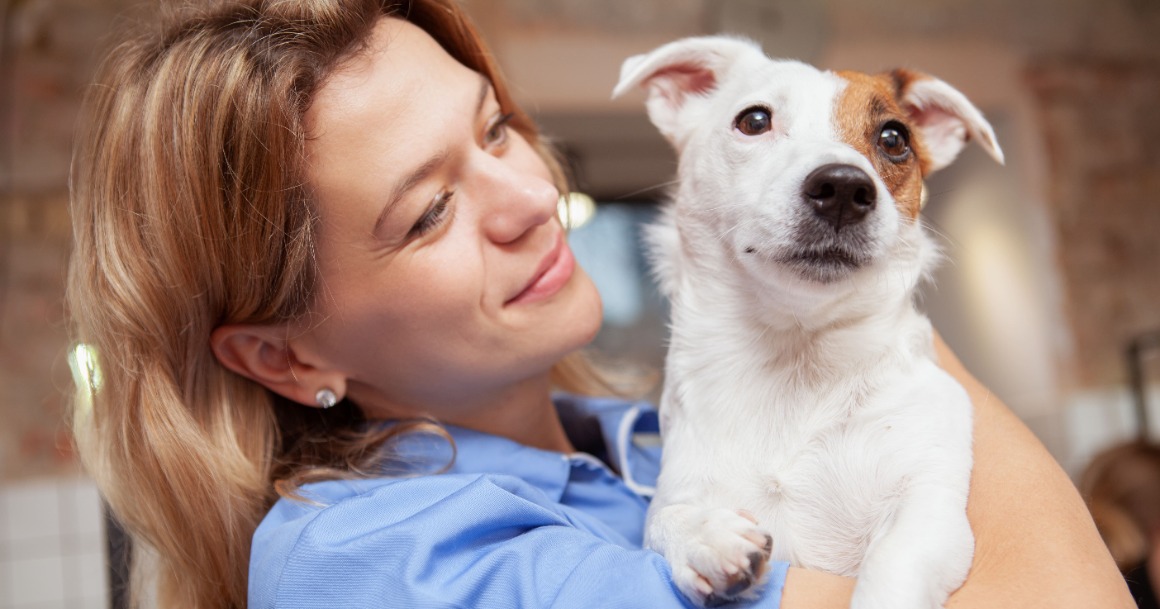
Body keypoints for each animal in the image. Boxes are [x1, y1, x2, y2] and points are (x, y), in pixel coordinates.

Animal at [612, 37, 1002, 607]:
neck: (797, 352)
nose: (843, 187)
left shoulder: (930, 510)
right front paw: (705, 537)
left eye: (894, 138)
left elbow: (893, 563)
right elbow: (662, 518)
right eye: (754, 120)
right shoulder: (679, 485)